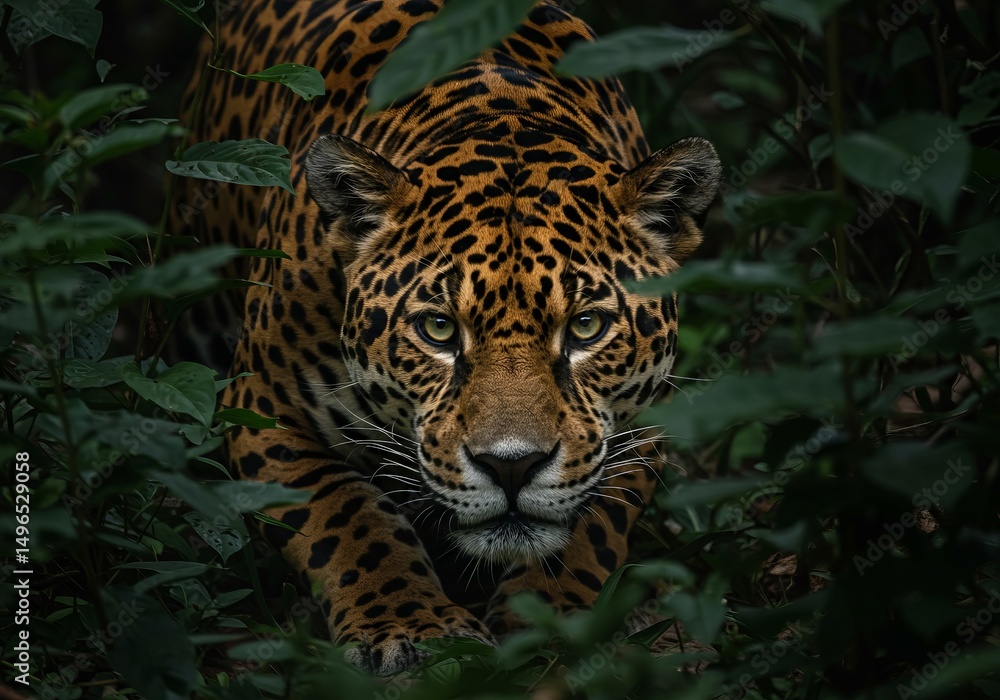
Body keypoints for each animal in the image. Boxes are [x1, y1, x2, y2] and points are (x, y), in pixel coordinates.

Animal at [172, 0, 721, 676]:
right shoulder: (260, 409)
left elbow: (588, 532)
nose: (511, 467)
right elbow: (347, 515)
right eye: (437, 329)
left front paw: (548, 625)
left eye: (586, 326)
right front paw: (414, 627)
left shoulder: (640, 426)